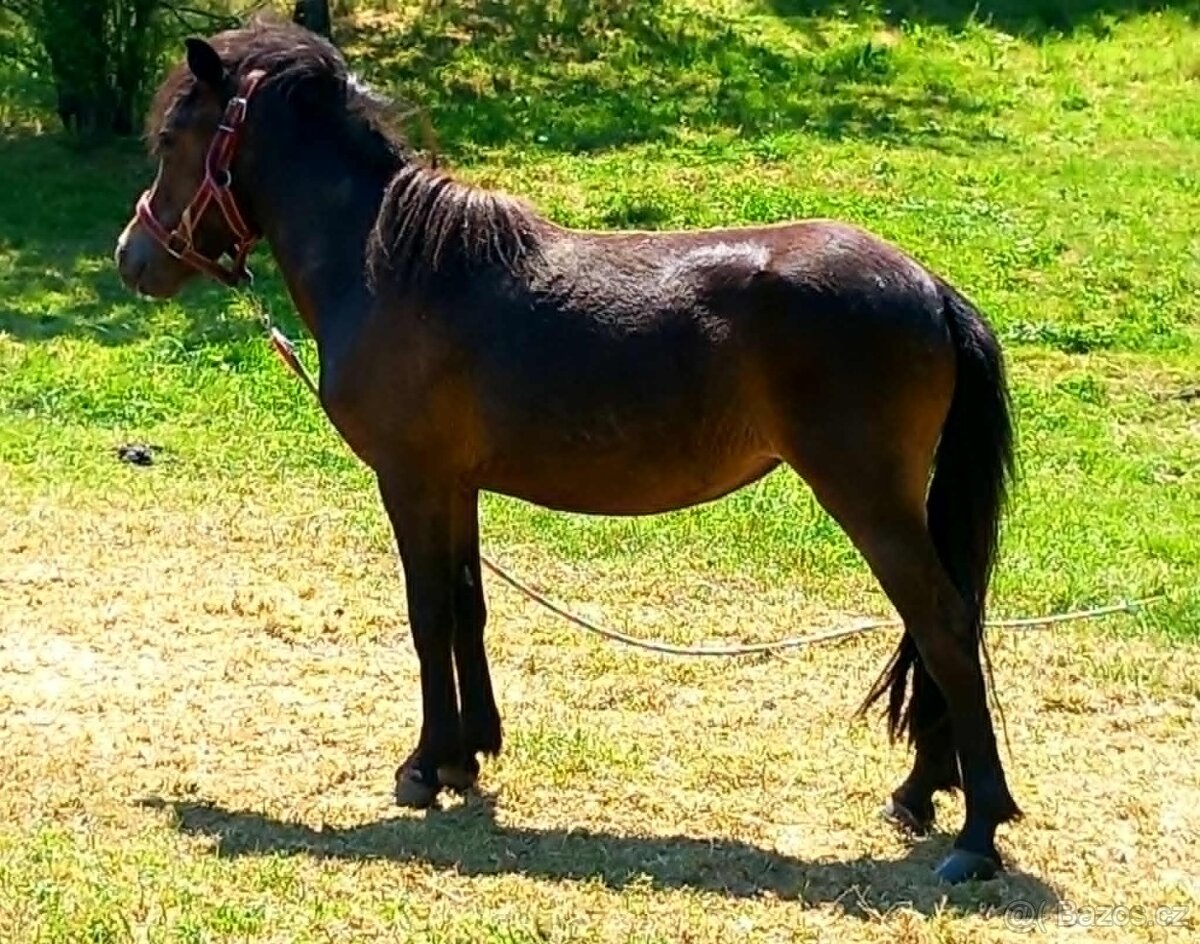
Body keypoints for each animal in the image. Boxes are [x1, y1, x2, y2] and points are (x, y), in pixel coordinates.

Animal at [114, 20, 1022, 884]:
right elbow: (468, 609)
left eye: (173, 138)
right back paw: (920, 793)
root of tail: (930, 287)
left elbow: (426, 614)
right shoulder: (457, 486)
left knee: (943, 626)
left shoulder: (410, 481)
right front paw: (468, 755)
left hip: (870, 501)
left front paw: (423, 767)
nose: (132, 257)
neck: (386, 265)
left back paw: (976, 834)